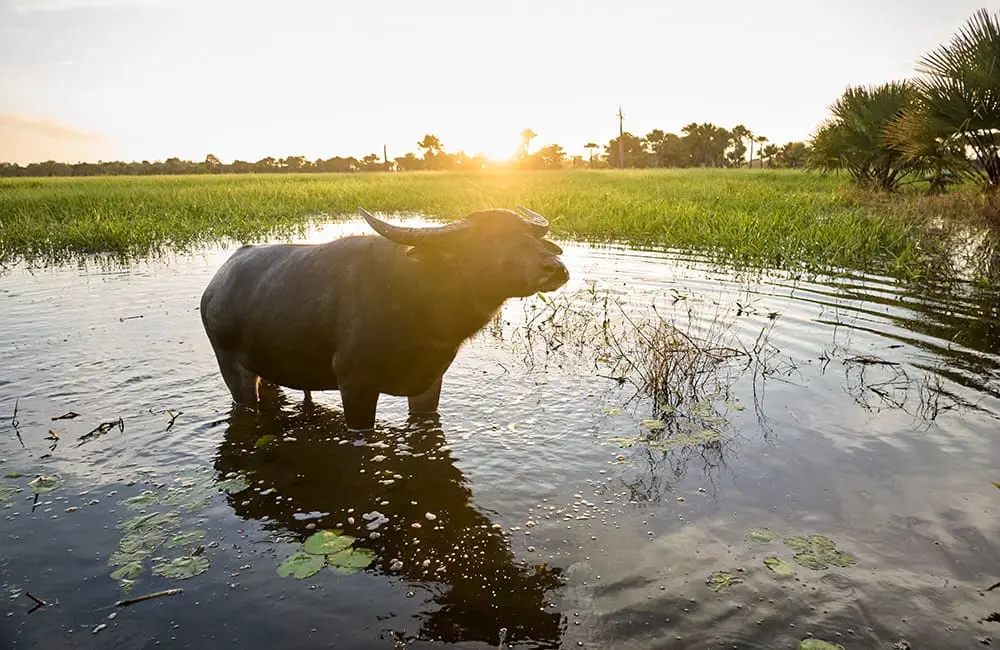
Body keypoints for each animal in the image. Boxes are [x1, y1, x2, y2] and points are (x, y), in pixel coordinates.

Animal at [199, 205, 569, 430]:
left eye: (529, 236)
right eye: (490, 240)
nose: (555, 268)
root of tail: (215, 287)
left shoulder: (429, 384)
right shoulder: (355, 383)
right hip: (234, 370)